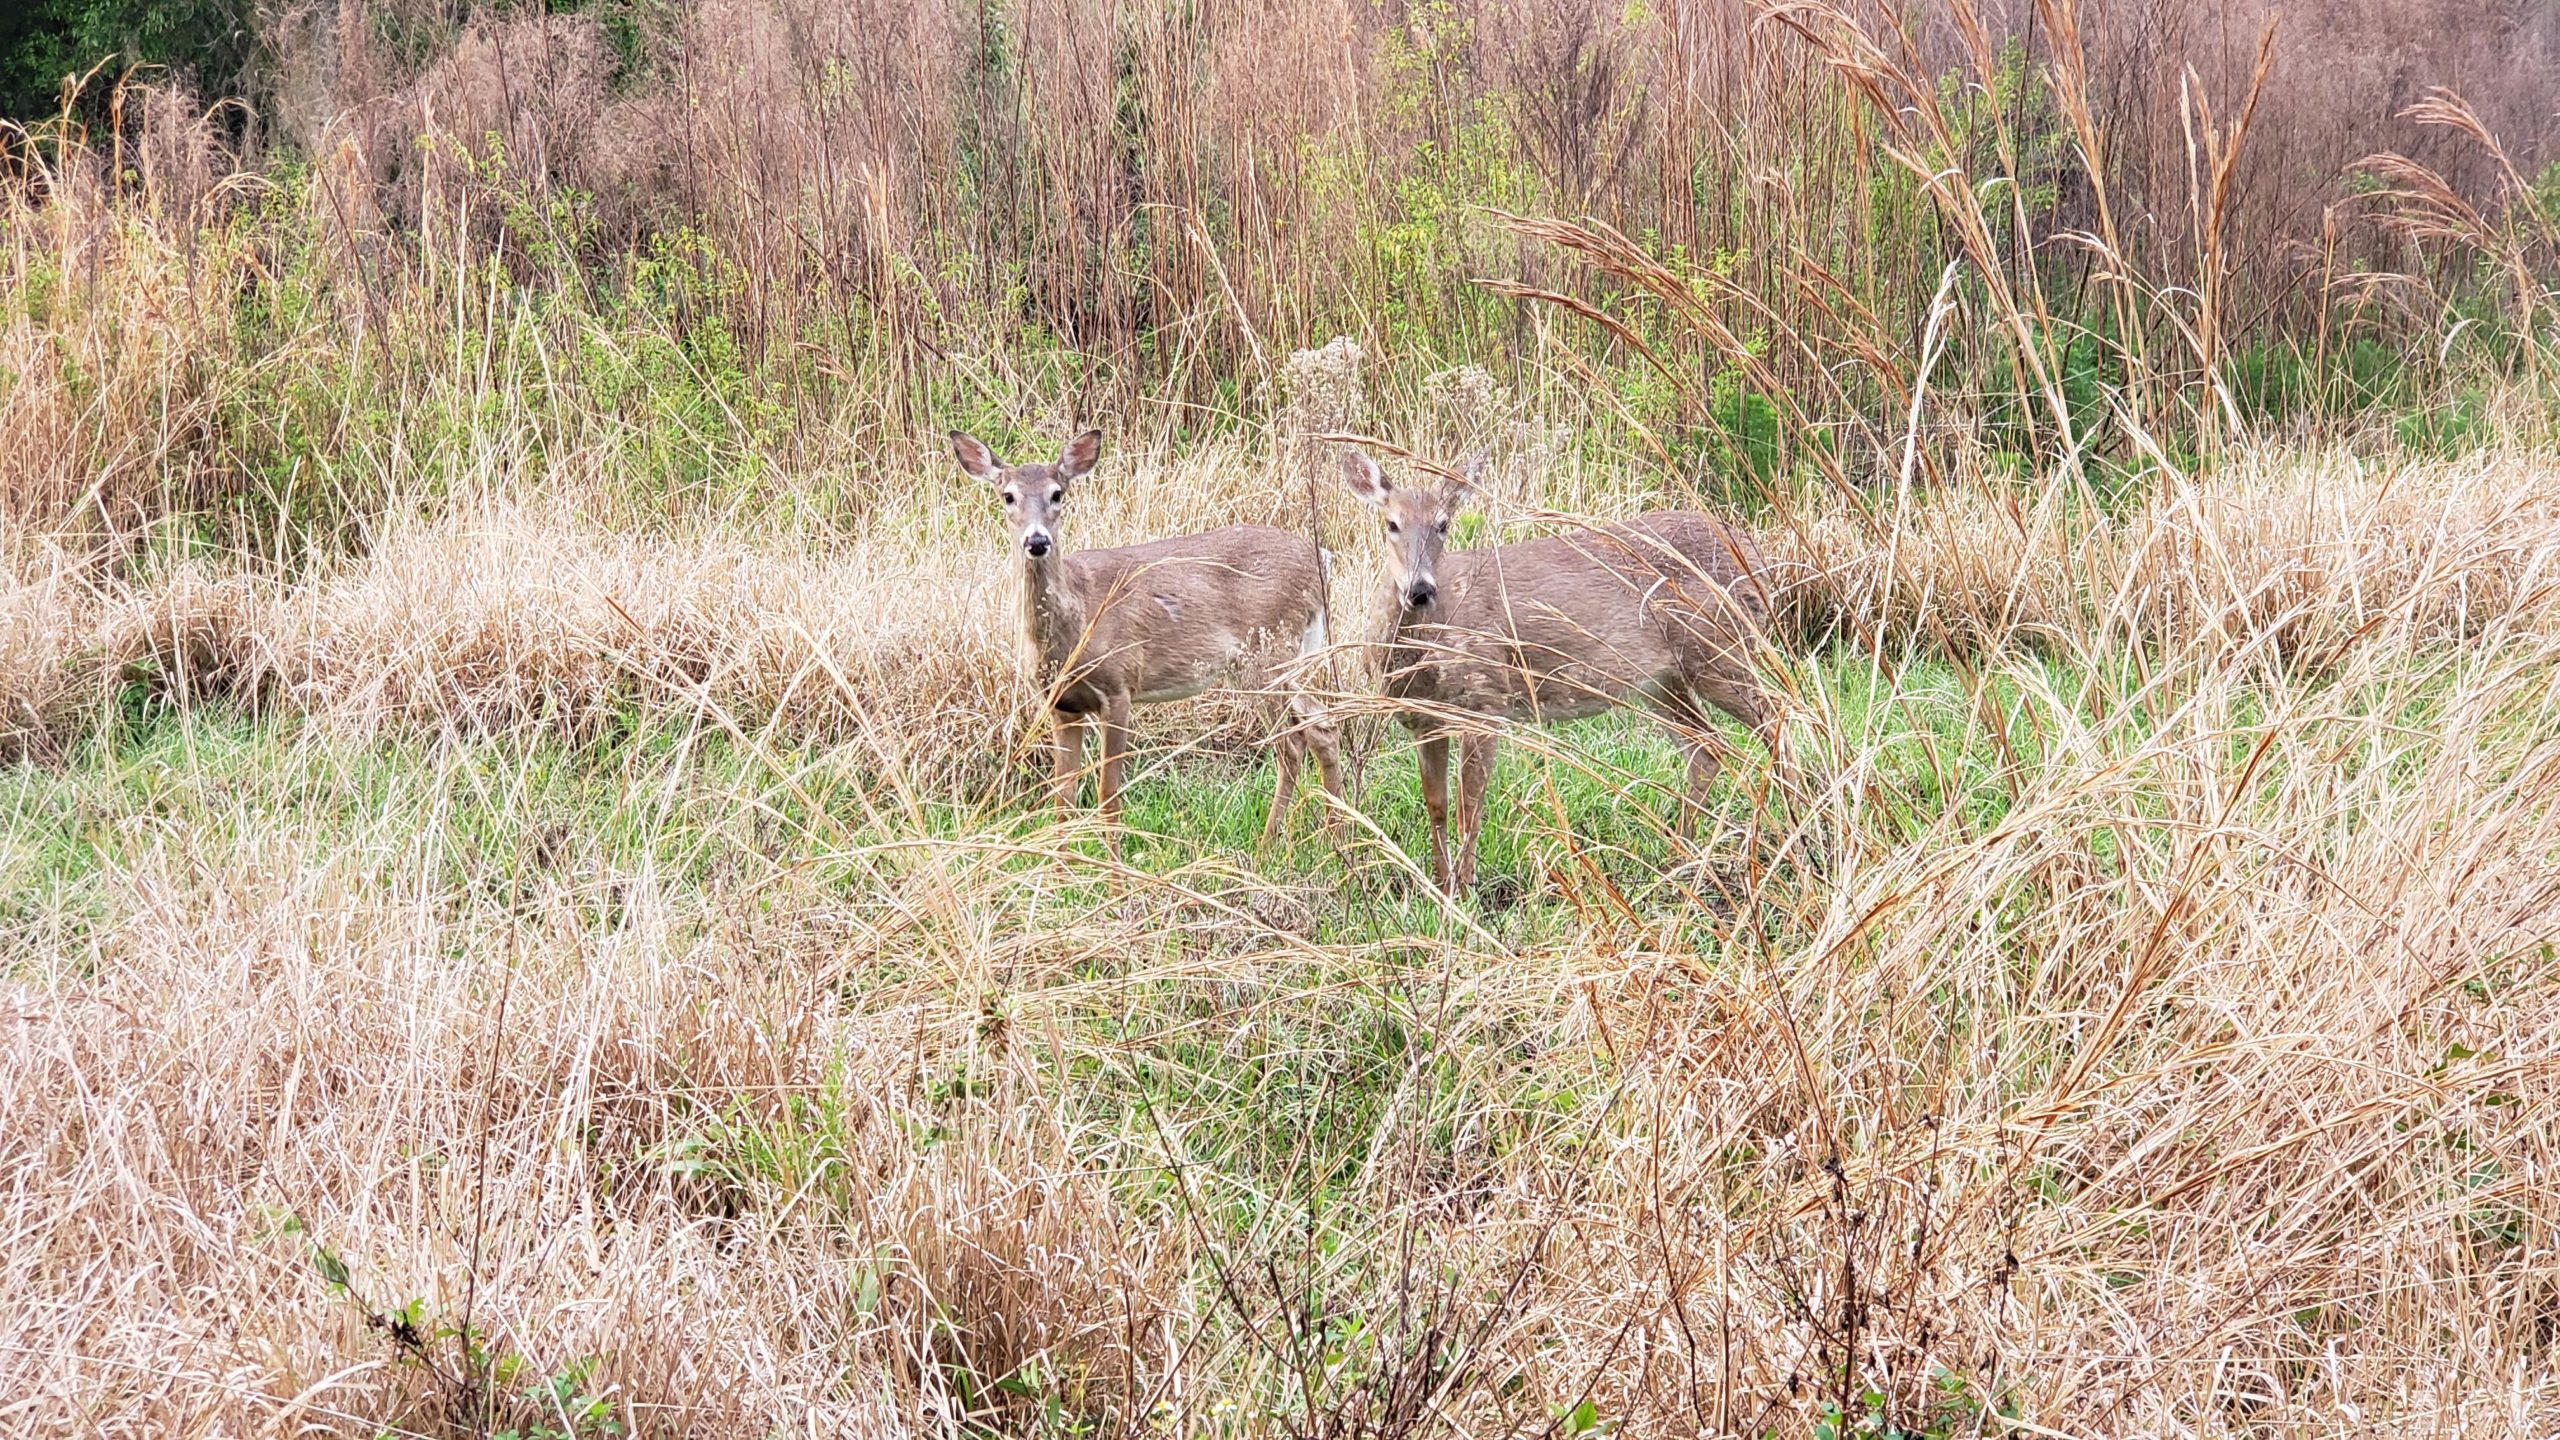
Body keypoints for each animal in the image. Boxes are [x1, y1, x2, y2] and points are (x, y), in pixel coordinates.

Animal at [954, 428, 1347, 845]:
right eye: (1007, 495)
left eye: (1057, 493)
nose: (1037, 541)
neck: (1075, 623)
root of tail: (1321, 562)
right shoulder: (1062, 705)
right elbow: (1063, 798)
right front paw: (1061, 862)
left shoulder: (1118, 686)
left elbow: (1108, 794)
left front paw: (1113, 864)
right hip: (1285, 657)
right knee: (1322, 723)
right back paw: (1334, 834)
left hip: (1267, 650)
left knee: (1292, 743)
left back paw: (1268, 845)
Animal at [1340, 449, 1783, 895]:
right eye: (1391, 523)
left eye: (1443, 524)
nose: (1420, 589)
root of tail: (1760, 561)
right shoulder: (1423, 720)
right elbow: (1437, 805)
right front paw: (1440, 886)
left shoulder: (1486, 699)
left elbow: (1470, 805)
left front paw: (1464, 891)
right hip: (1660, 679)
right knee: (1706, 747)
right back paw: (1682, 859)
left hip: (1719, 647)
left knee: (1775, 719)